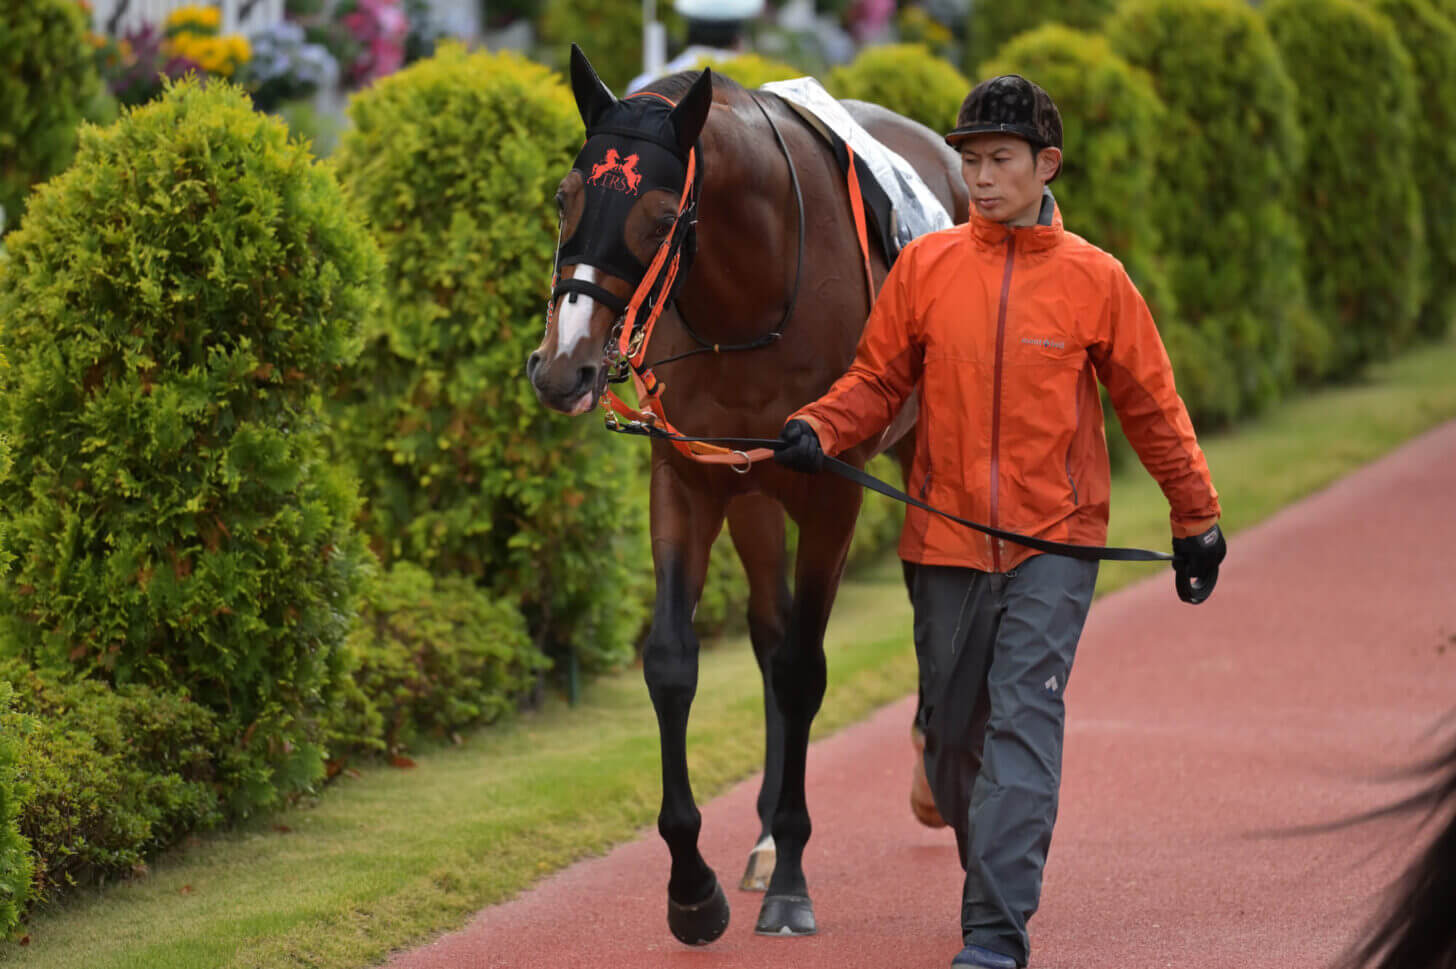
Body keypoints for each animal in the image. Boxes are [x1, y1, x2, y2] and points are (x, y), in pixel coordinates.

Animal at [524, 47, 966, 942]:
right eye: (564, 195)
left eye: (662, 216)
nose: (564, 367)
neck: (748, 293)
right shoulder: (691, 475)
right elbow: (673, 660)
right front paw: (693, 888)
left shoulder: (830, 488)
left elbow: (803, 667)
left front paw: (793, 876)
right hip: (752, 488)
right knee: (767, 627)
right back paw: (761, 833)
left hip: (911, 451)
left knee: (923, 590)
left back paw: (927, 781)